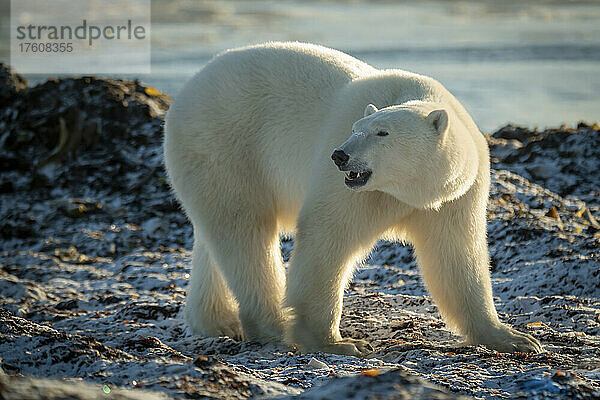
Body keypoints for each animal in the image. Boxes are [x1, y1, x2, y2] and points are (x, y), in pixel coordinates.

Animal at [165, 42, 544, 354]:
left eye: (382, 132)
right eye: (355, 129)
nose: (340, 156)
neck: (407, 190)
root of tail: (184, 93)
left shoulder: (455, 197)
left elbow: (456, 254)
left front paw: (512, 337)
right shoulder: (354, 190)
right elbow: (328, 234)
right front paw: (336, 342)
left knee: (217, 236)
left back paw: (217, 321)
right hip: (227, 146)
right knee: (244, 230)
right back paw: (271, 326)